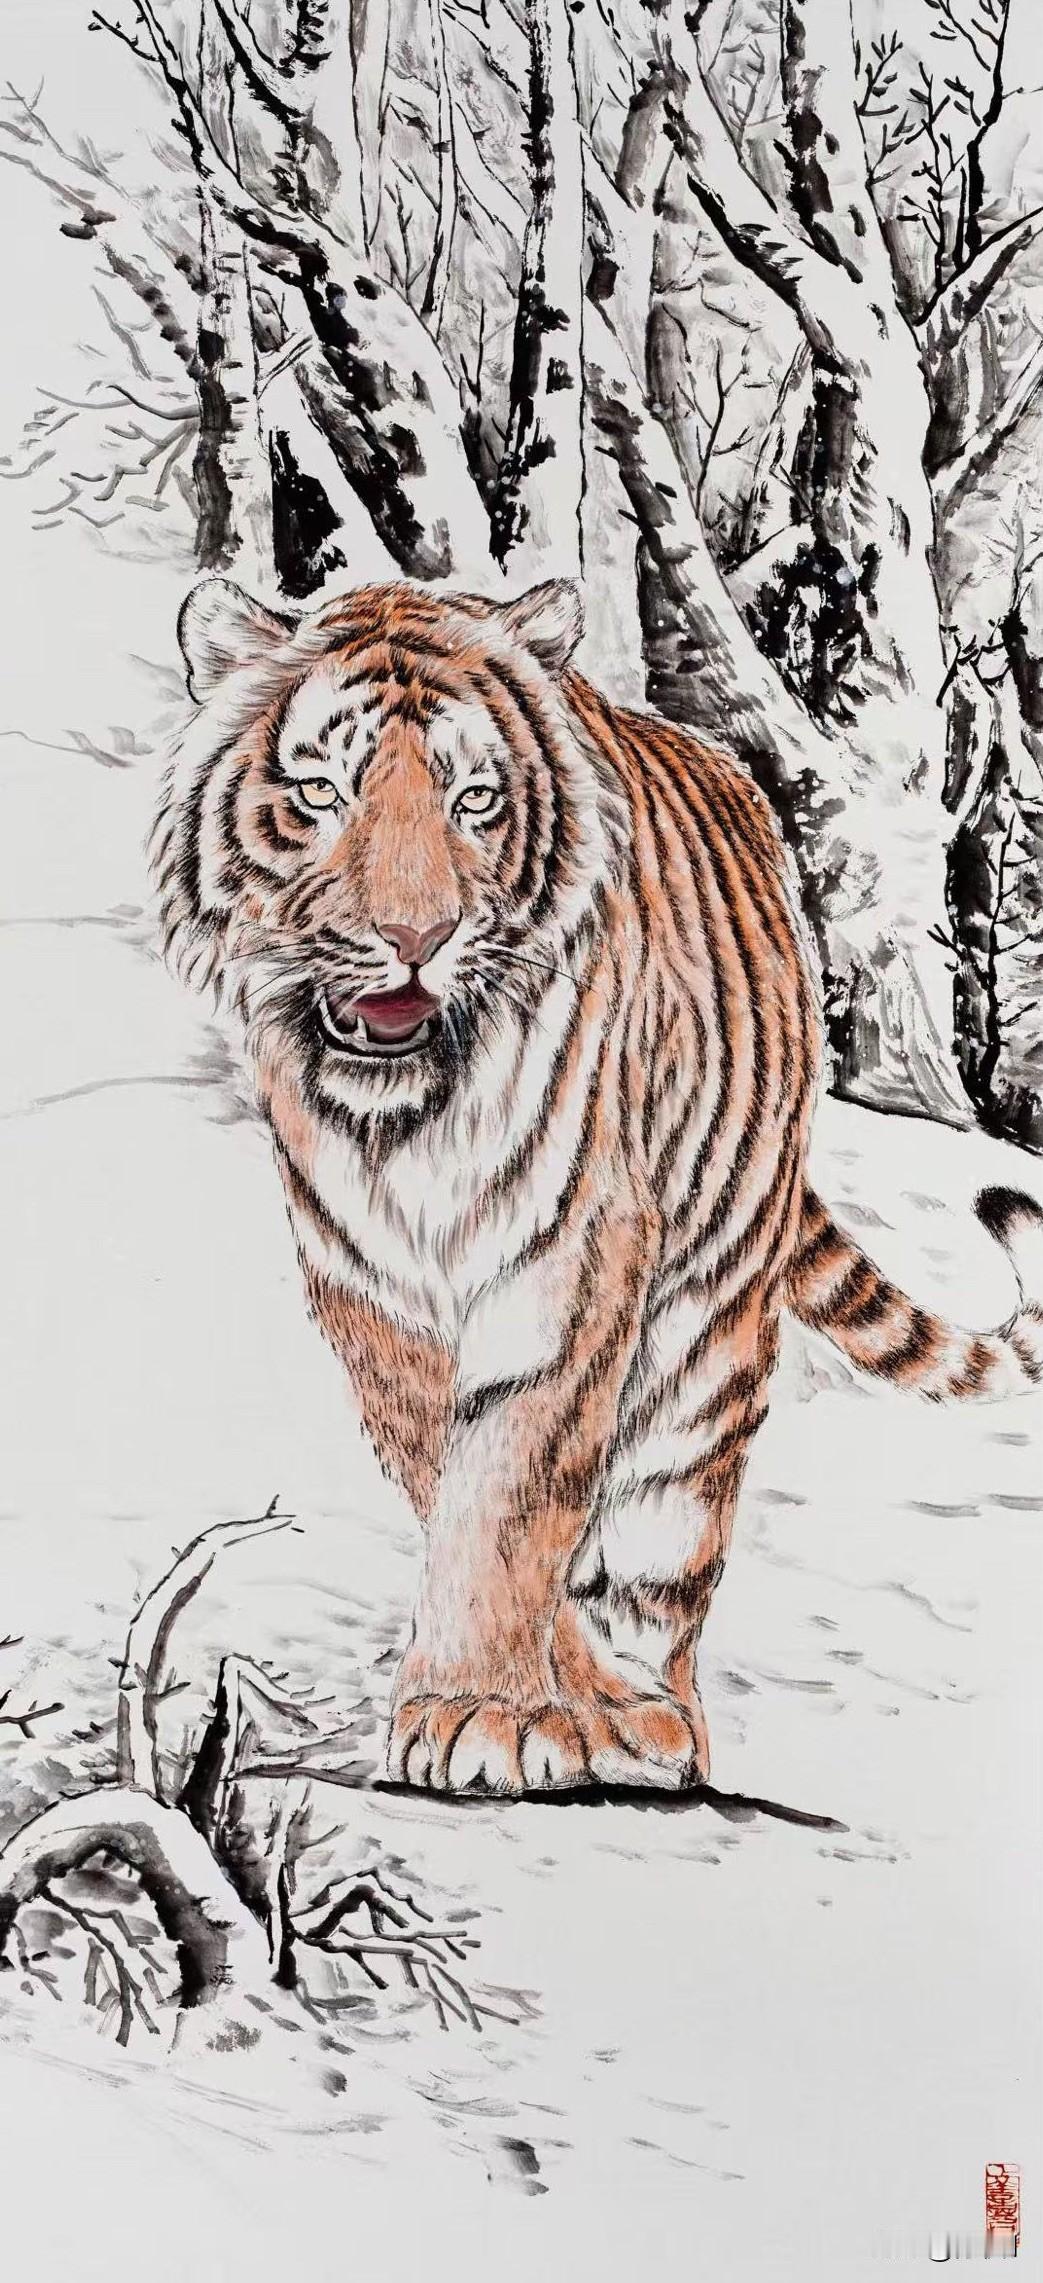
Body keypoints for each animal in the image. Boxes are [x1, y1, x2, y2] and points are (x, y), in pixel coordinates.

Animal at [152, 572, 1043, 1795]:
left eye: (475, 799)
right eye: (321, 793)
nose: (415, 938)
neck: (404, 1120)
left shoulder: (571, 1247)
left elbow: (512, 1488)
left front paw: (480, 1712)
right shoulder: (364, 1280)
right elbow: (457, 1482)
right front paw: (527, 1703)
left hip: (706, 1335)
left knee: (661, 1542)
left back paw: (657, 1724)